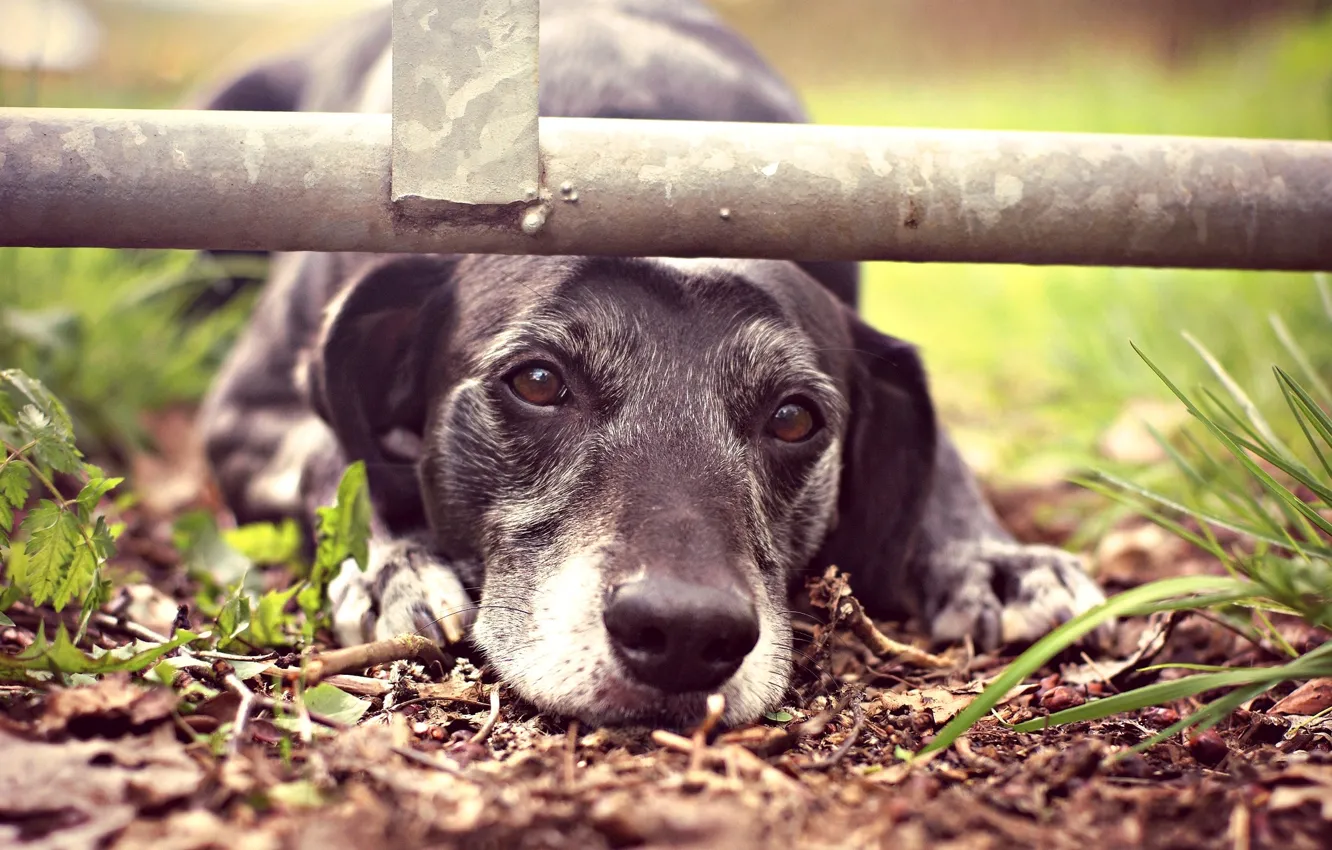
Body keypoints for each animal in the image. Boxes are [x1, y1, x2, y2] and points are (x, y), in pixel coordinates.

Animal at [194, 1, 1102, 735]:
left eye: (794, 417)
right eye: (537, 381)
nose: (687, 635)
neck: (641, 154)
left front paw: (992, 556)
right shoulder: (248, 415)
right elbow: (332, 457)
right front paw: (391, 564)